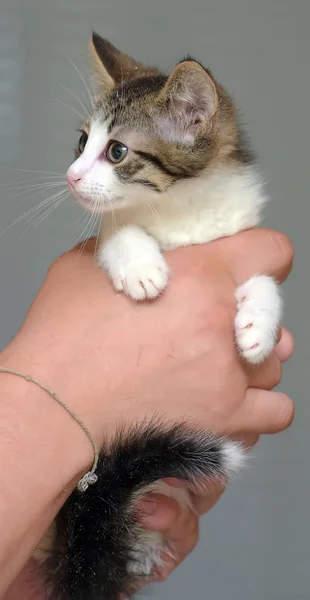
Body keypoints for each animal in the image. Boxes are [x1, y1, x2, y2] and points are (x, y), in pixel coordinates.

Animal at [38, 32, 280, 600]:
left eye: (117, 151)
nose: (72, 176)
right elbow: (116, 232)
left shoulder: (240, 235)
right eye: (81, 142)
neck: (180, 210)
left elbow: (263, 280)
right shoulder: (103, 232)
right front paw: (141, 266)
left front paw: (258, 327)